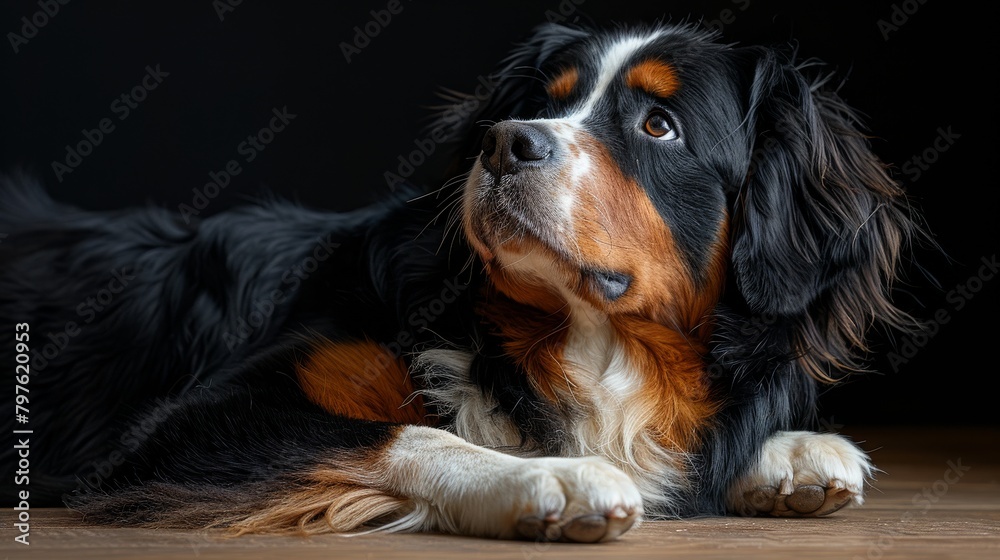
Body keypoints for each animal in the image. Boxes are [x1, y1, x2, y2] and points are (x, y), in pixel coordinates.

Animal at [0, 21, 920, 544]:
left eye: (660, 125)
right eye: (540, 102)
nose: (507, 141)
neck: (582, 344)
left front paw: (795, 451)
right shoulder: (187, 423)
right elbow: (406, 433)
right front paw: (547, 477)